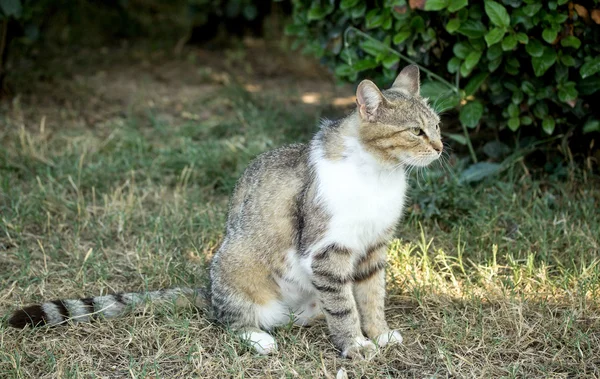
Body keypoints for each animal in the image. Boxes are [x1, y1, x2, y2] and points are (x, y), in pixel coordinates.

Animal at [7, 64, 442, 360]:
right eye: (415, 131)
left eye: (437, 125)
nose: (440, 147)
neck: (380, 173)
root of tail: (207, 289)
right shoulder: (327, 250)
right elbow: (344, 306)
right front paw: (355, 345)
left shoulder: (373, 248)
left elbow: (371, 297)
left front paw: (379, 333)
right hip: (236, 265)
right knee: (229, 320)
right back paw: (260, 337)